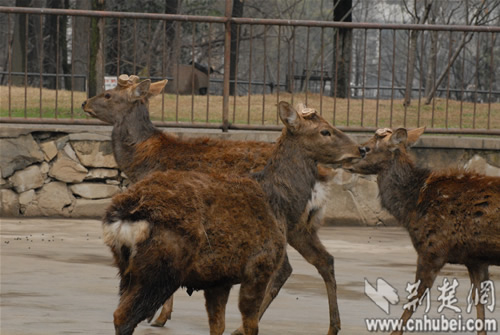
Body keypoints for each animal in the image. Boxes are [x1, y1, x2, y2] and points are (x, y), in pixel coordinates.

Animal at [81, 75, 352, 334]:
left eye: (108, 94)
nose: (84, 103)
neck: (140, 159)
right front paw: (159, 315)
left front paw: (159, 316)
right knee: (321, 261)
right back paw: (332, 326)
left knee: (296, 267)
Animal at [344, 127, 500, 334]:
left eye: (366, 148)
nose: (345, 160)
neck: (411, 206)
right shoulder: (475, 259)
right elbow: (479, 304)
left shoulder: (432, 249)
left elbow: (415, 298)